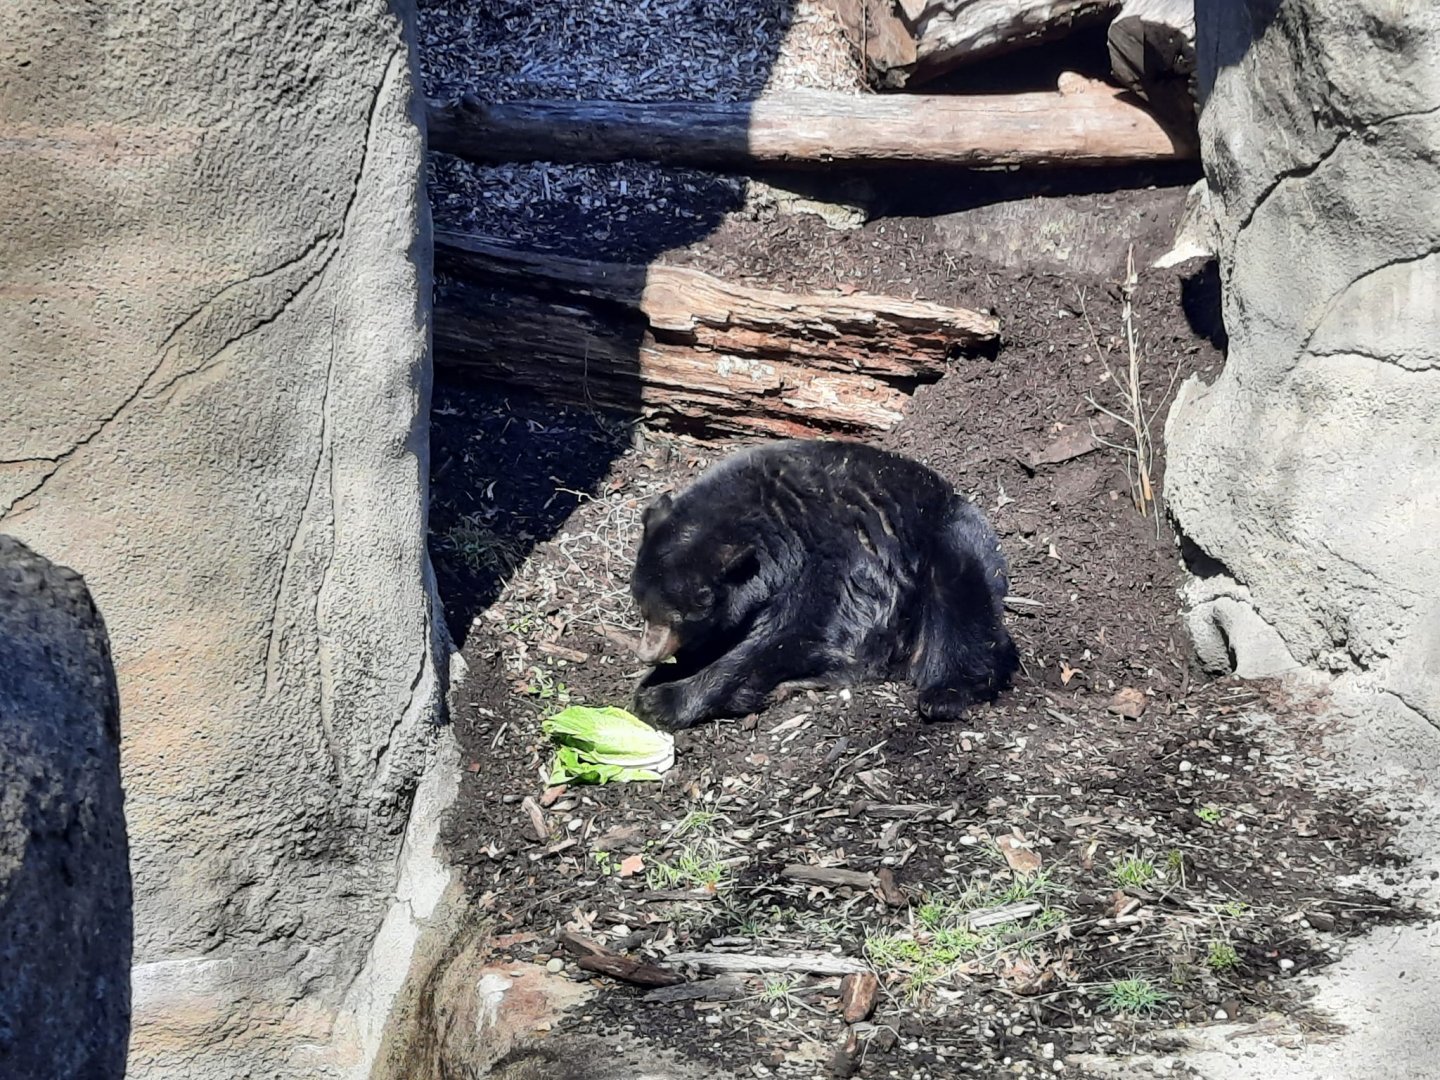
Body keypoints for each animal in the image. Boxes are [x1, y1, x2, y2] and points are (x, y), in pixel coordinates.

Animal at [628, 438, 1019, 730]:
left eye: (682, 615)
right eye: (641, 606)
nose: (647, 652)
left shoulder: (835, 557)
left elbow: (790, 632)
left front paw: (663, 699)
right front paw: (657, 677)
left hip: (951, 552)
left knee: (963, 614)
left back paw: (943, 695)